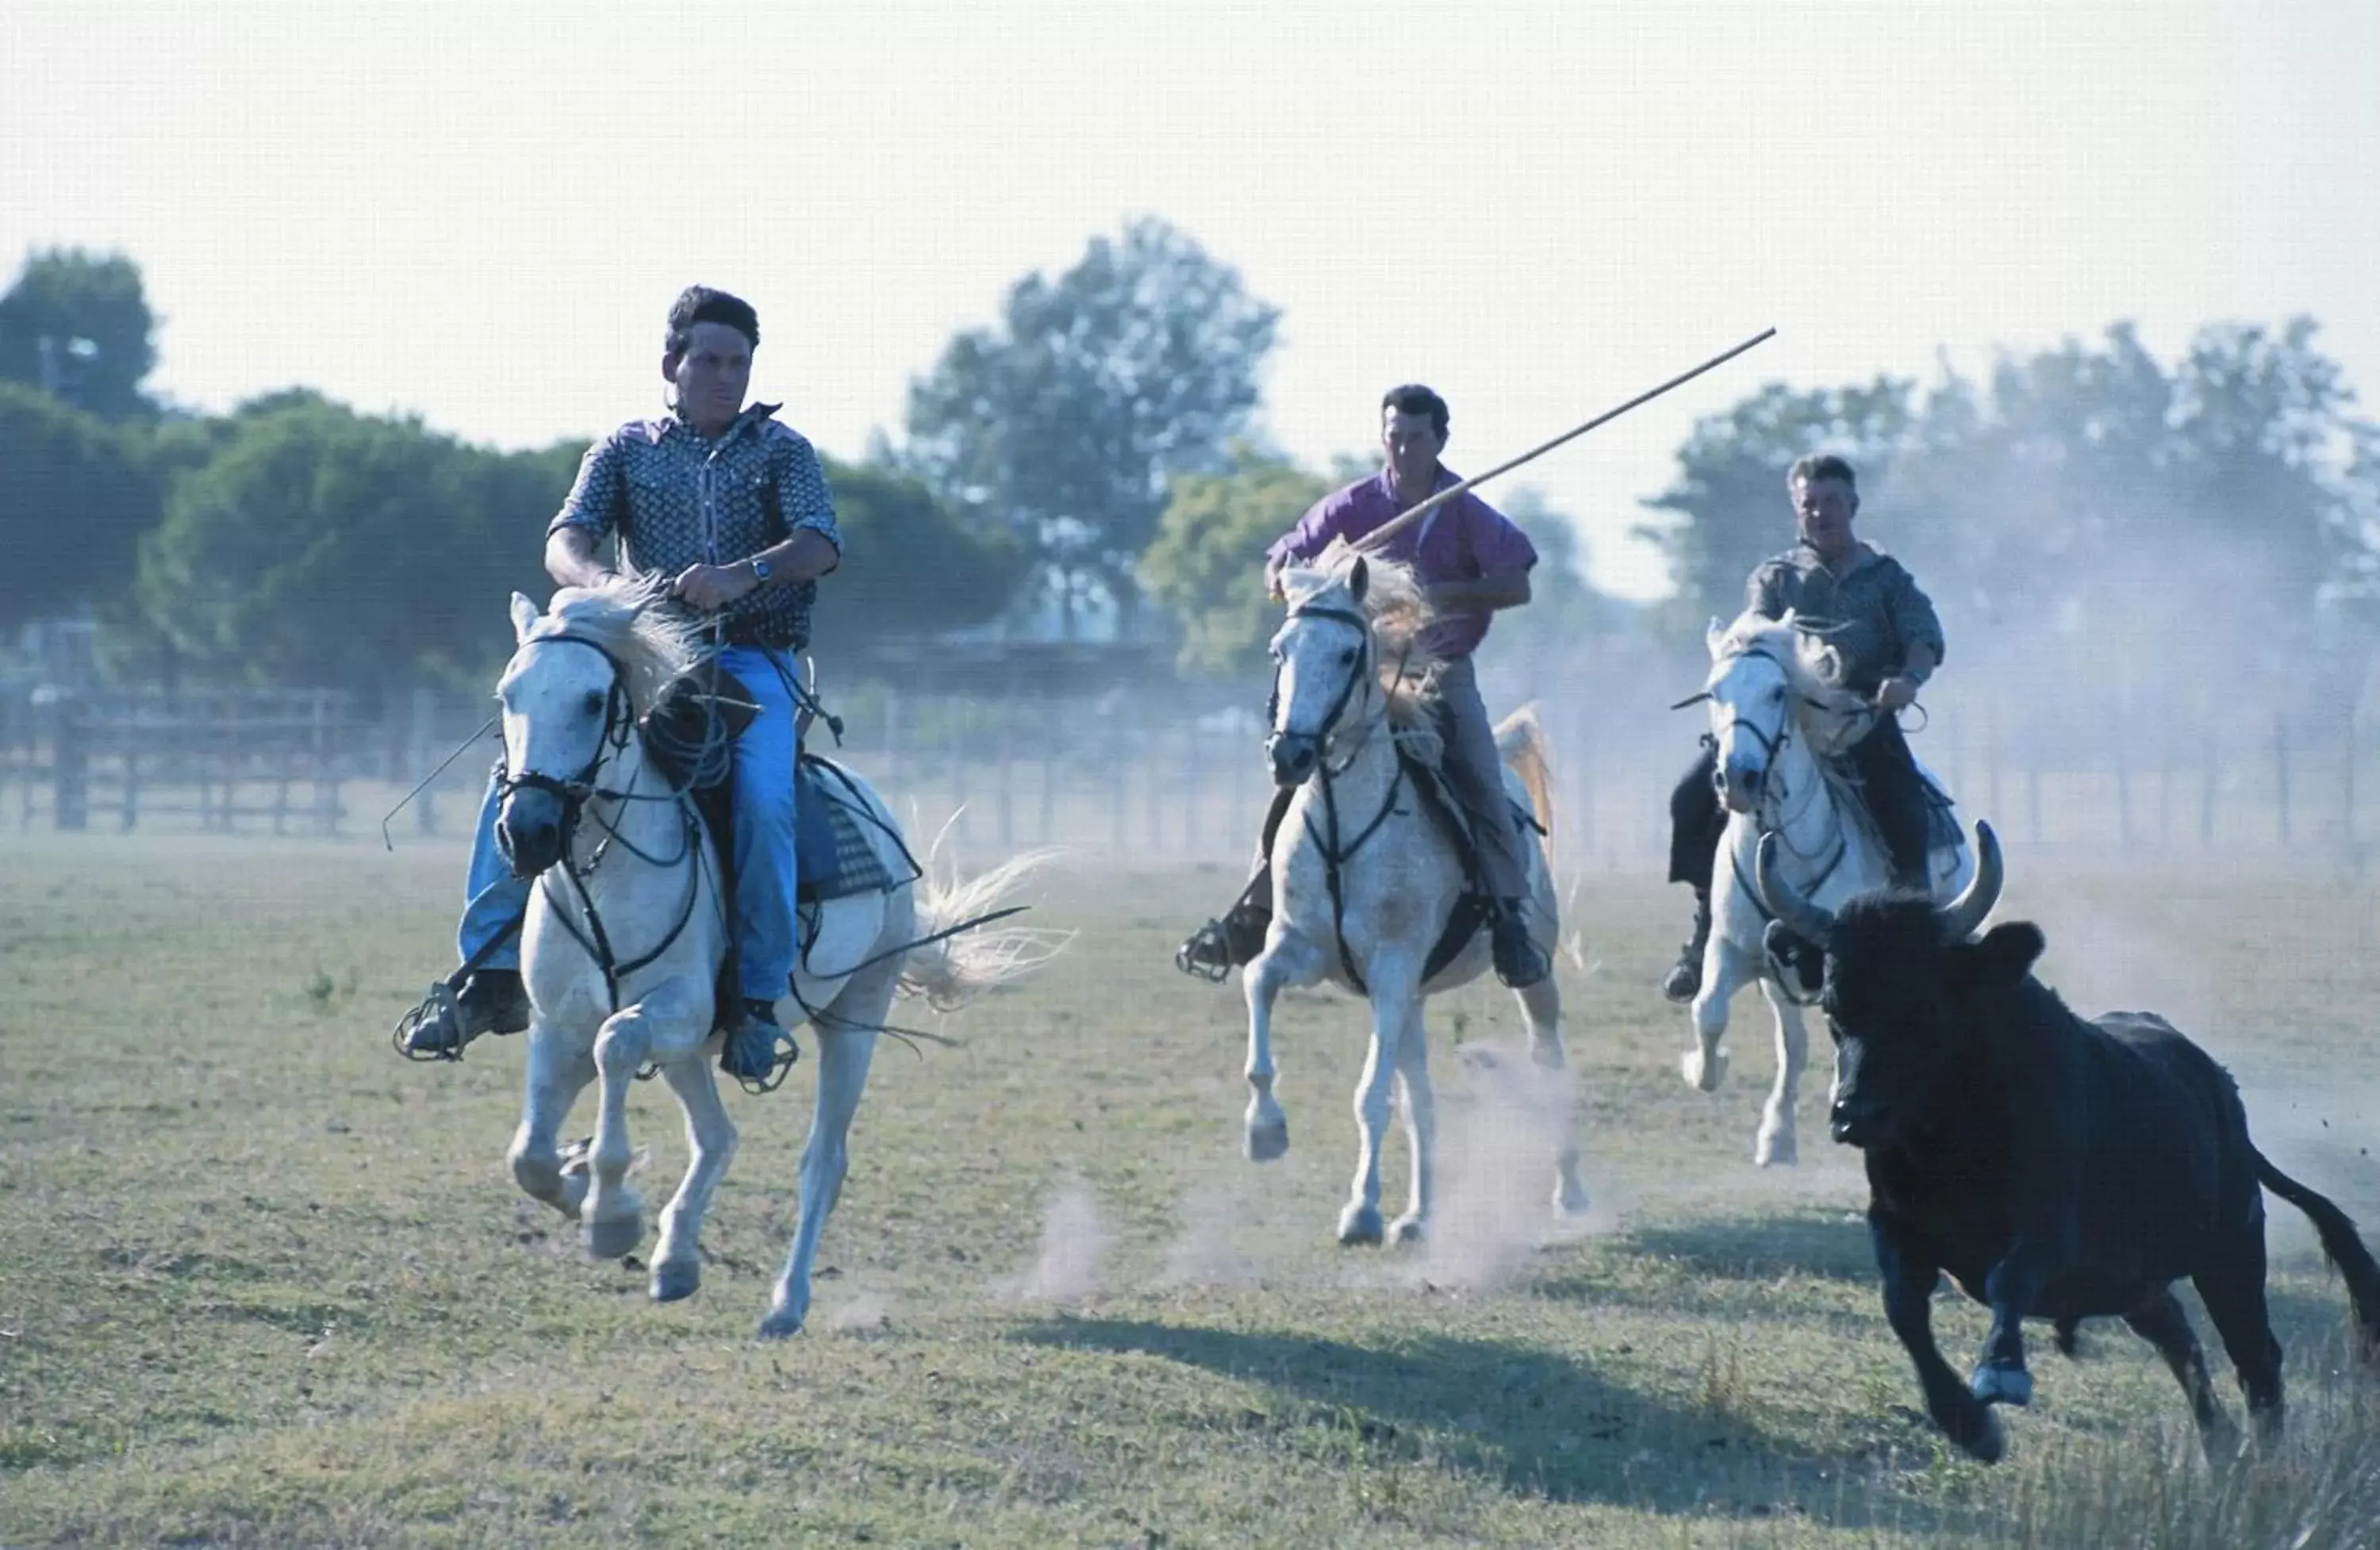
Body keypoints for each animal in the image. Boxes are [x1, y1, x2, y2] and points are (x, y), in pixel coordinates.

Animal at [490, 588, 1052, 1342]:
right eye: (508, 695)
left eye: (590, 700)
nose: (527, 831)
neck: (607, 879)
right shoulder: (557, 1029)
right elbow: (529, 1156)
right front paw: (586, 1184)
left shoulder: (670, 1011)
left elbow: (617, 1045)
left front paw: (609, 1214)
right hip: (694, 1050)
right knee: (718, 1136)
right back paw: (676, 1259)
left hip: (853, 1017)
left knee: (821, 1163)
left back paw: (786, 1302)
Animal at [1238, 545, 1590, 1247]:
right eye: (1279, 649)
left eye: (1349, 653)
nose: (1289, 756)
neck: (1344, 829)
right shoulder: (1302, 949)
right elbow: (1258, 982)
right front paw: (1265, 1130)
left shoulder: (1393, 969)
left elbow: (1370, 1097)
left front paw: (1361, 1213)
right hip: (1413, 999)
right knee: (1420, 1099)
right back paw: (1417, 1216)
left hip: (1526, 974)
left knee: (1547, 1060)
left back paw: (1569, 1192)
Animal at [1685, 607, 1980, 1161]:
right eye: (1713, 691)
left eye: (1778, 692)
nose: (1738, 779)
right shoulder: (1738, 951)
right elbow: (1710, 1012)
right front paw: (1711, 1076)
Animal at [1752, 823, 2380, 1466]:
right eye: (1834, 1005)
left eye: (1923, 1003)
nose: (1853, 1116)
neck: (1951, 1144)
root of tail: (2221, 1092)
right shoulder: (1893, 1222)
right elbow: (1902, 1307)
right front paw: (1968, 1424)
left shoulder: (2050, 1229)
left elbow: (2008, 1279)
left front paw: (2002, 1373)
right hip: (2135, 1281)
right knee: (2179, 1337)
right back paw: (2223, 1448)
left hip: (2231, 1251)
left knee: (2256, 1359)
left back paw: (2267, 1464)